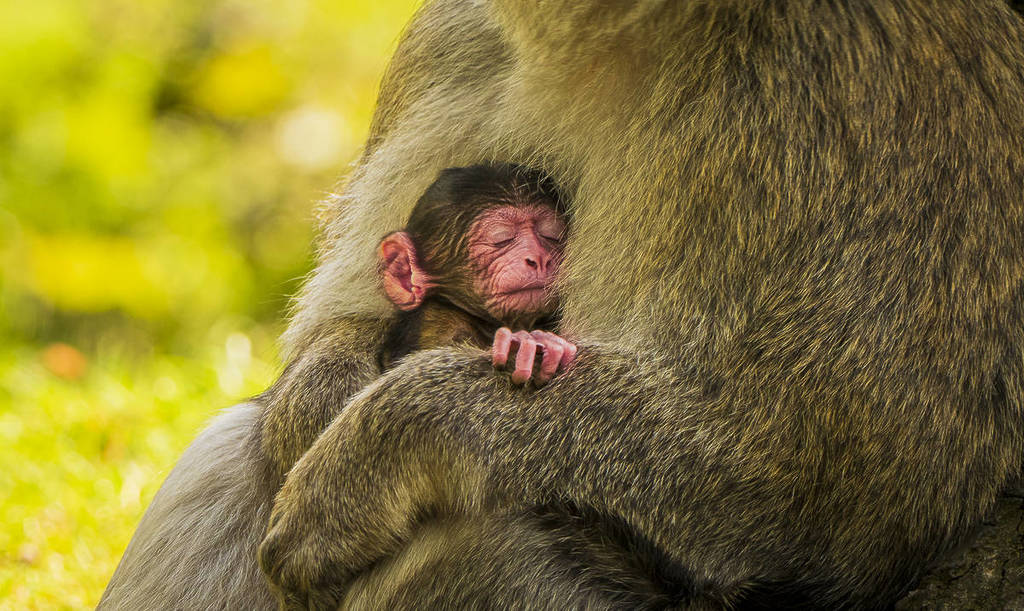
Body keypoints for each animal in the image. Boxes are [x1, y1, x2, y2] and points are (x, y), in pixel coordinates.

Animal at [102, 1, 1024, 609]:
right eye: (504, 236)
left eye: (544, 236)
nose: (531, 260)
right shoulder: (463, 42)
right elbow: (346, 329)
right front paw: (315, 404)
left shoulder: (853, 96)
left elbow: (839, 481)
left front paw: (393, 437)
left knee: (488, 539)